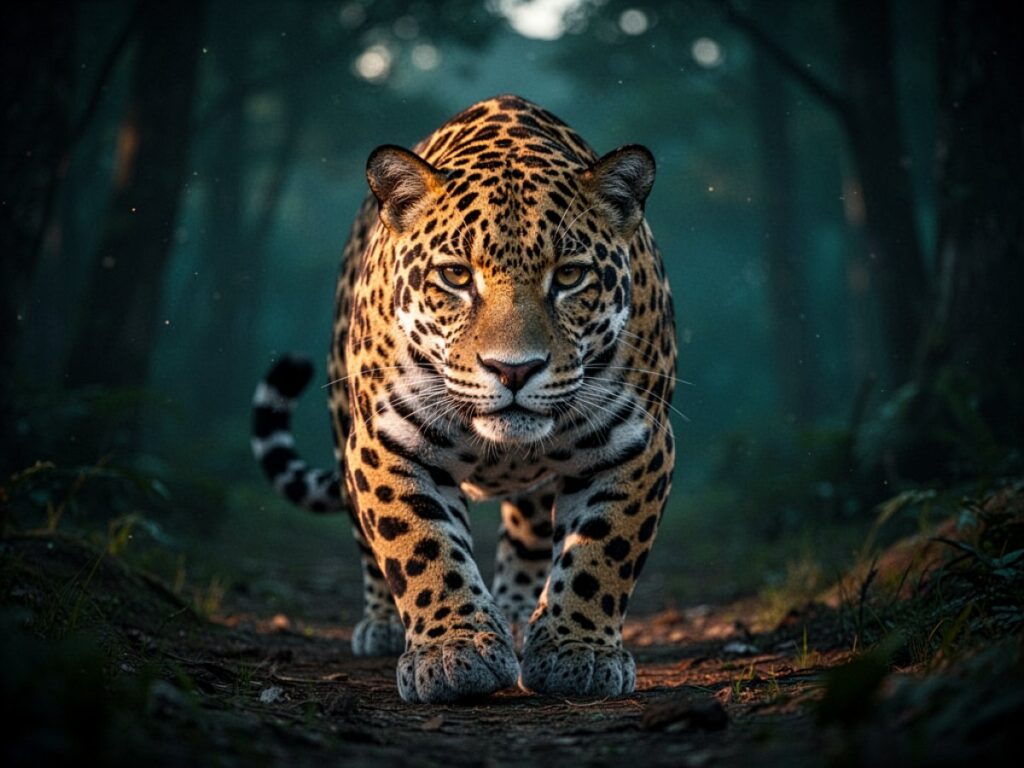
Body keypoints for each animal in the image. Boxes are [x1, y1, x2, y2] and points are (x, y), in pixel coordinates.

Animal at [251, 94, 677, 703]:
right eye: (455, 276)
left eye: (570, 276)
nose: (513, 369)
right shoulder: (387, 442)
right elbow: (421, 548)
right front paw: (455, 653)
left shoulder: (637, 443)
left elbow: (602, 554)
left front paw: (578, 652)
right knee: (366, 540)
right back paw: (383, 624)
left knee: (527, 530)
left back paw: (520, 614)